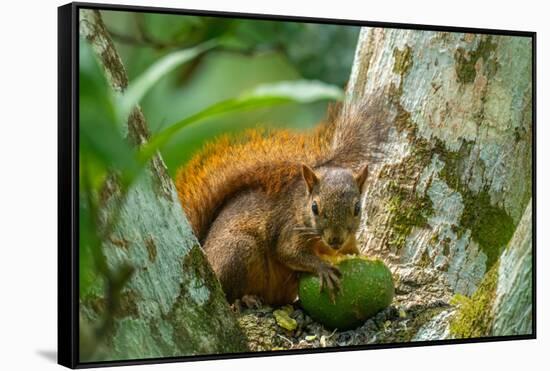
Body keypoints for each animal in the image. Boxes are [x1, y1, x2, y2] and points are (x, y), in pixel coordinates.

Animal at [175, 102, 386, 306]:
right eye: (314, 208)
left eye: (357, 208)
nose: (335, 240)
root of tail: (204, 248)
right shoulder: (288, 229)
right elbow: (288, 252)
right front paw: (323, 267)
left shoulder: (349, 243)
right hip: (238, 251)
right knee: (230, 293)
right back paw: (245, 299)